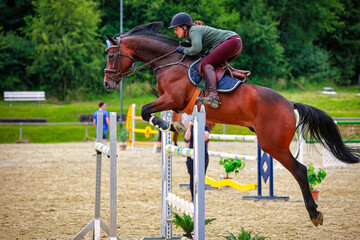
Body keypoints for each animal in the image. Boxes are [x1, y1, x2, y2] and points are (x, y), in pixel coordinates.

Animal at [102, 22, 358, 227]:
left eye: (112, 56)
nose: (107, 84)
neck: (169, 61)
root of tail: (289, 103)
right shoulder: (175, 104)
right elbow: (158, 114)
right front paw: (174, 127)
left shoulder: (173, 99)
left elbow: (146, 111)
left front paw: (169, 125)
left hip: (272, 144)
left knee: (300, 170)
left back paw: (314, 213)